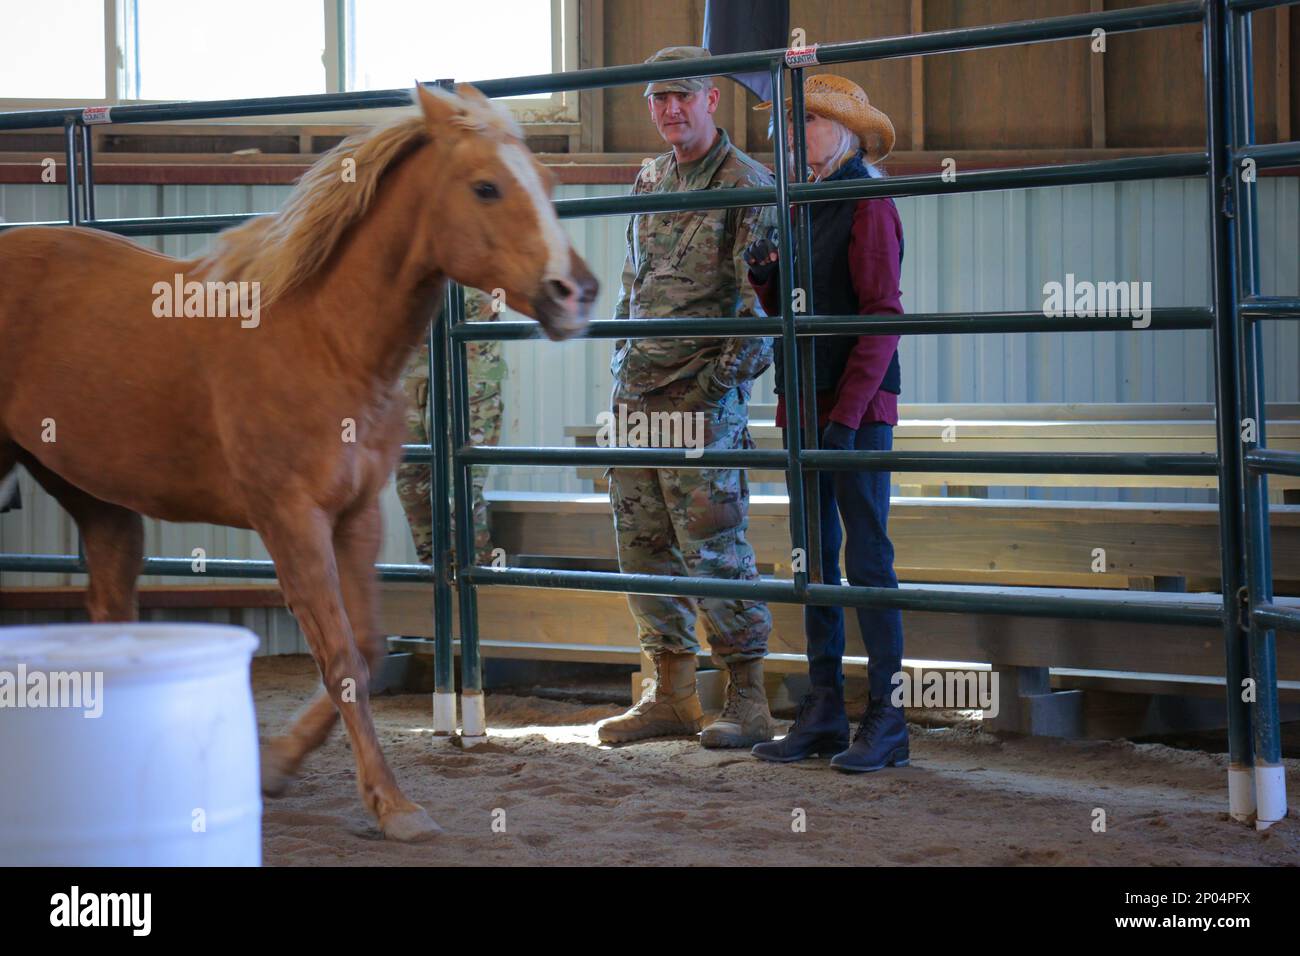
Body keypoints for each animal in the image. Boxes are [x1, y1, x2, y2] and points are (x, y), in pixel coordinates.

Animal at [0, 83, 598, 842]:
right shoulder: (290, 519)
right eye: (485, 187)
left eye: (547, 182)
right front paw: (393, 805)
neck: (323, 336)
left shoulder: (357, 514)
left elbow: (366, 647)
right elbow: (338, 654)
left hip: (93, 494)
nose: (574, 293)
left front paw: (276, 763)